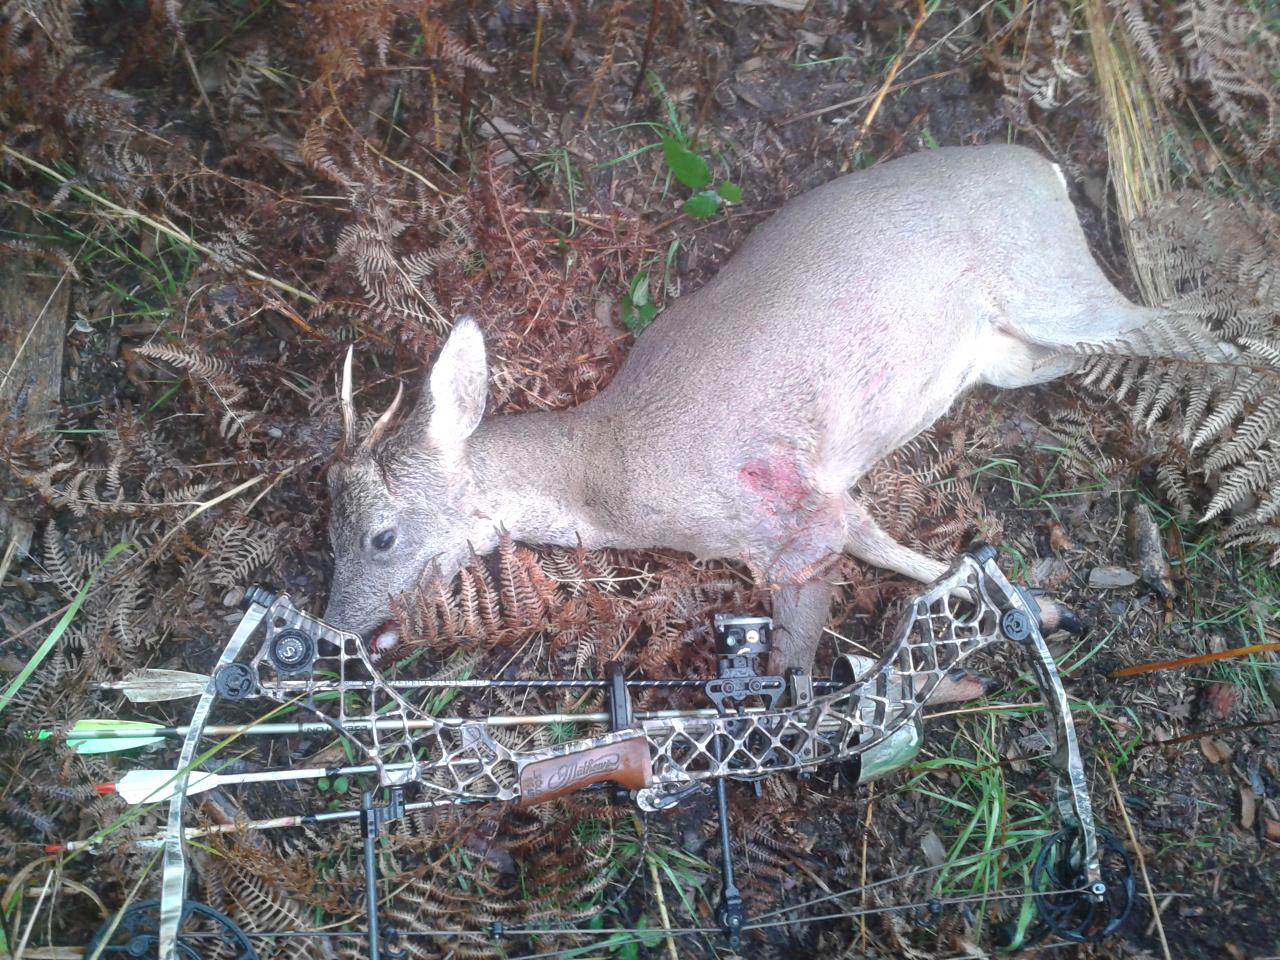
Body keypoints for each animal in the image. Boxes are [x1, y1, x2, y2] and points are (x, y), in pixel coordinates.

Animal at [325, 146, 1192, 675]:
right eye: (330, 530)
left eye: (382, 535)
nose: (333, 624)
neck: (606, 473)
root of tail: (1042, 165)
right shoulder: (824, 504)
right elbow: (897, 551)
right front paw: (1043, 608)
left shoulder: (785, 515)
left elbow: (798, 654)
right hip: (1013, 353)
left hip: (1055, 288)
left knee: (1191, 323)